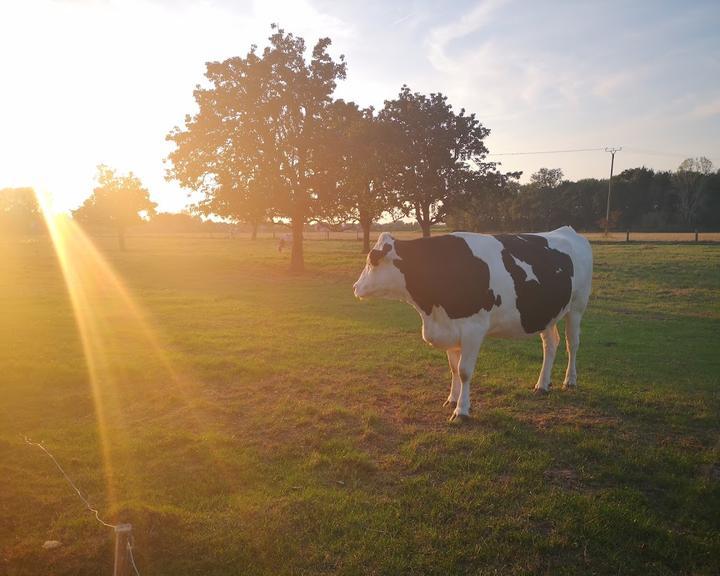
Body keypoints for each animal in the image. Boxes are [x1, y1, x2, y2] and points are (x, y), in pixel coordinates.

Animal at [352, 226, 592, 424]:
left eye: (371, 261)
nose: (355, 287)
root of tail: (568, 231)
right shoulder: (449, 328)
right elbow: (453, 368)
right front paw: (451, 399)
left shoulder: (473, 330)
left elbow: (464, 371)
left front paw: (461, 411)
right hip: (546, 314)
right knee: (550, 344)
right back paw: (542, 385)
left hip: (577, 306)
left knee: (572, 344)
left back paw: (569, 381)